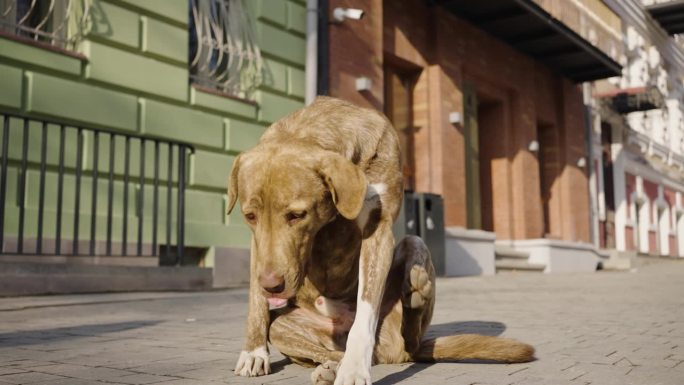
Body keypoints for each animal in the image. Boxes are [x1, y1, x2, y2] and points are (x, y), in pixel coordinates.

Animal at [227, 97, 532, 382]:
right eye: (250, 216)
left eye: (297, 215)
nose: (272, 286)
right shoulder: (259, 247)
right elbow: (255, 300)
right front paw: (253, 352)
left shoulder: (378, 230)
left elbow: (365, 310)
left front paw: (353, 369)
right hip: (284, 327)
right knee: (326, 349)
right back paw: (331, 367)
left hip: (413, 246)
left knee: (405, 341)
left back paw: (415, 295)